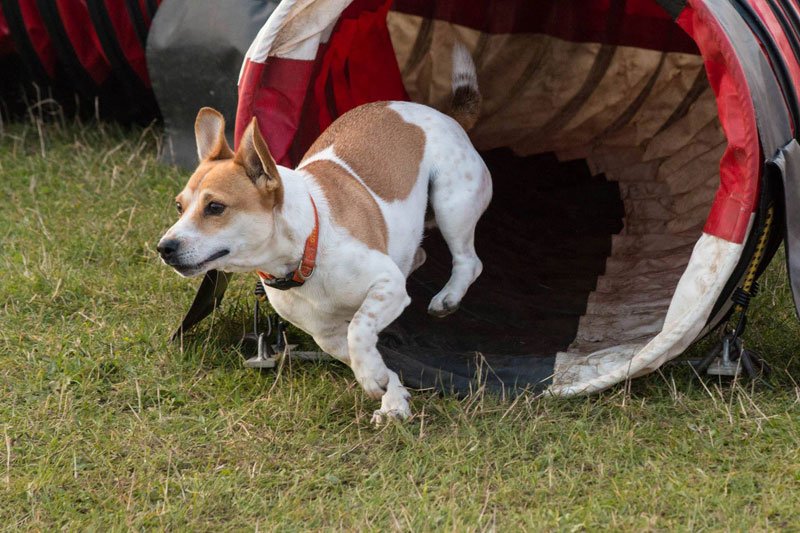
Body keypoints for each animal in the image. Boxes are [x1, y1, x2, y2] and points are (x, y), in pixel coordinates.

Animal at [157, 43, 490, 422]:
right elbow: (365, 353)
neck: (306, 250)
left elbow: (360, 329)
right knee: (417, 255)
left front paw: (375, 380)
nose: (164, 247)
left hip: (452, 204)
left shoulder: (387, 285)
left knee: (468, 260)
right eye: (179, 207)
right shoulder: (327, 335)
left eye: (215, 207)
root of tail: (445, 115)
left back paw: (448, 297)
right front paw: (390, 395)